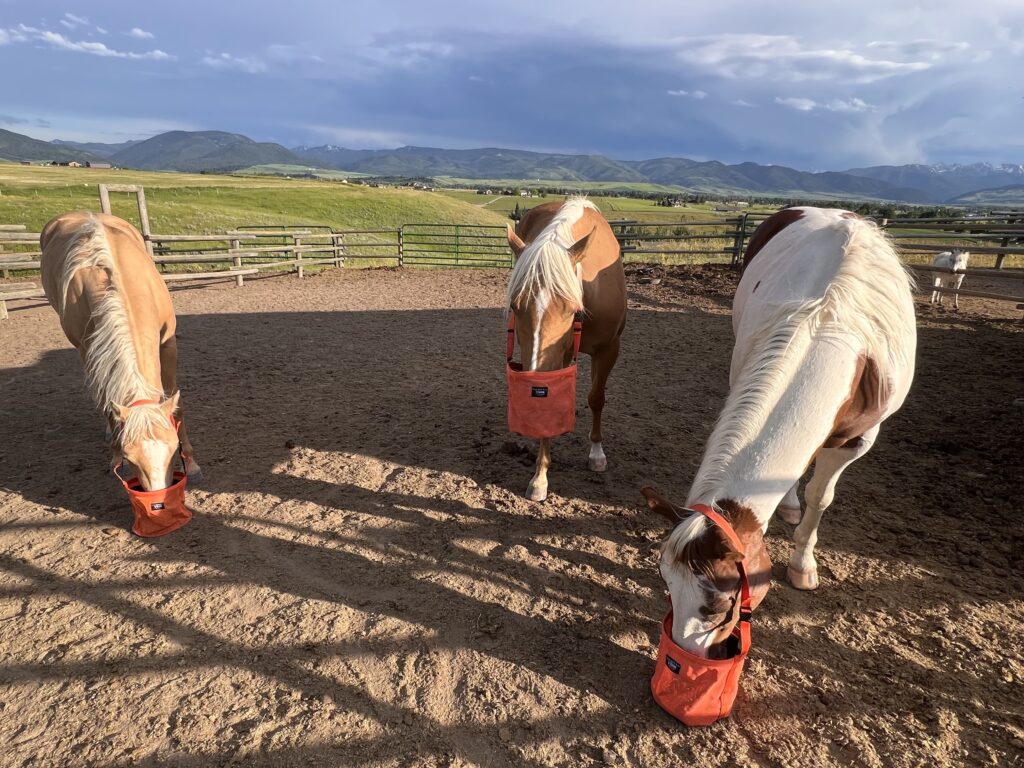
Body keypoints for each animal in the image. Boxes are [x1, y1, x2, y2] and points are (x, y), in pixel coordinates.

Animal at [40, 211, 201, 490]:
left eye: (174, 449)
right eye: (130, 456)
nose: (160, 494)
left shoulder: (168, 342)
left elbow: (176, 401)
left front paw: (191, 462)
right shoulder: (88, 351)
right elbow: (106, 402)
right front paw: (116, 459)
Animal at [506, 198, 626, 501]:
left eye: (571, 307)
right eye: (514, 305)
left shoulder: (609, 350)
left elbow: (597, 398)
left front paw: (596, 453)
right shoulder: (550, 357)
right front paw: (540, 477)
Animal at [643, 206, 916, 658]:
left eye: (719, 601)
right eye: (666, 583)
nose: (688, 654)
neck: (828, 327)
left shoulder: (855, 441)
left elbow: (820, 496)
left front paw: (803, 565)